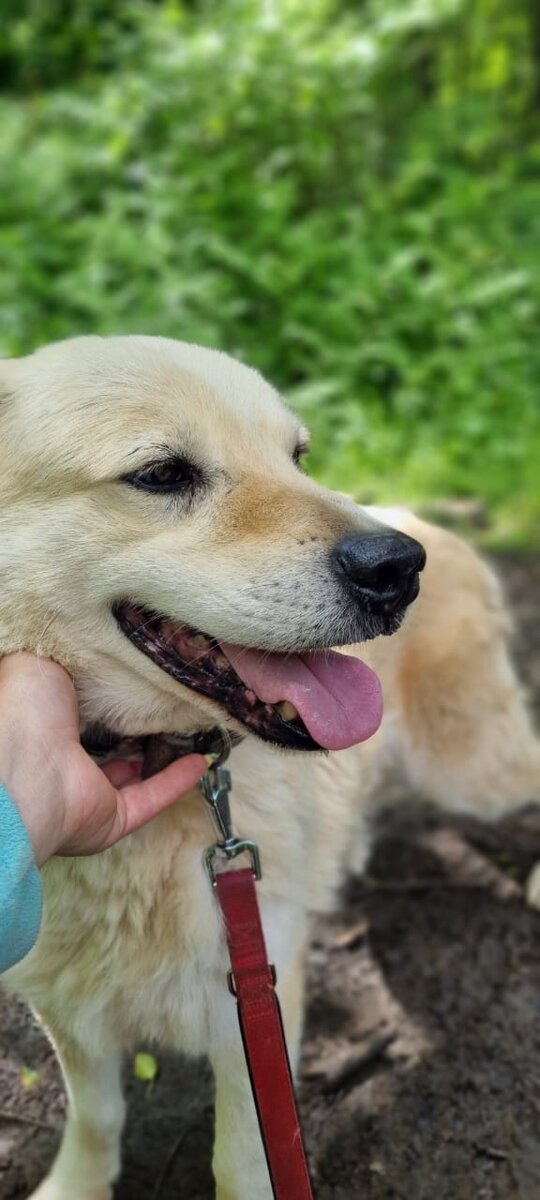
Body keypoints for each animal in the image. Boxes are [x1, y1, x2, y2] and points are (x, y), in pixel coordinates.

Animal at [3, 336, 540, 1200]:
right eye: (161, 474)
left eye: (298, 457)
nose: (399, 570)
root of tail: (425, 521)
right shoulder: (69, 1006)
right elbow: (97, 1117)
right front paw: (73, 1188)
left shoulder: (255, 1005)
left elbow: (243, 1158)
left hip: (471, 763)